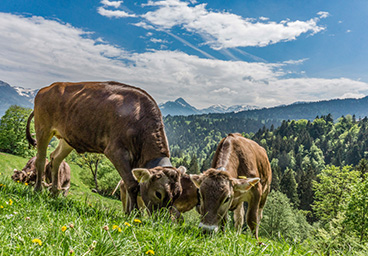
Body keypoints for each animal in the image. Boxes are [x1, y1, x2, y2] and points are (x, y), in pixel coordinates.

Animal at [25, 81, 183, 213]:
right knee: (41, 159)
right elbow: (132, 185)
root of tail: (46, 88)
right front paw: (135, 214)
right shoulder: (116, 151)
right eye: (158, 194)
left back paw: (54, 193)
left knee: (55, 158)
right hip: (43, 128)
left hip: (68, 139)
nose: (161, 220)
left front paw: (129, 214)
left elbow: (129, 185)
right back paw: (38, 190)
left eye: (178, 194)